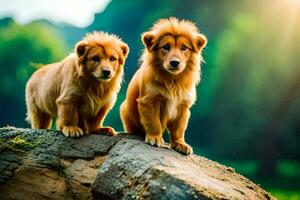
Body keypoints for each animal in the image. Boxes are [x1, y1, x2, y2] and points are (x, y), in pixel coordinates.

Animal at [119, 17, 206, 155]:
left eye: (184, 48)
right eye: (166, 47)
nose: (175, 62)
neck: (173, 81)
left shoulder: (183, 106)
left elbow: (179, 129)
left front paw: (180, 144)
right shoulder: (149, 101)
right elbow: (154, 123)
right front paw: (155, 138)